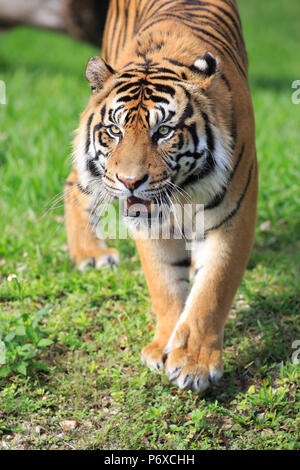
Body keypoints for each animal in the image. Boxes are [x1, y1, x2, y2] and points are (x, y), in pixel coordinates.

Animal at [64, 0, 256, 392]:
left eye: (164, 131)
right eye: (114, 130)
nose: (130, 181)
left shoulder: (235, 214)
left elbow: (213, 288)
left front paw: (194, 363)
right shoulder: (150, 223)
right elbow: (164, 282)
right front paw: (163, 346)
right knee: (76, 182)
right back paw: (91, 254)